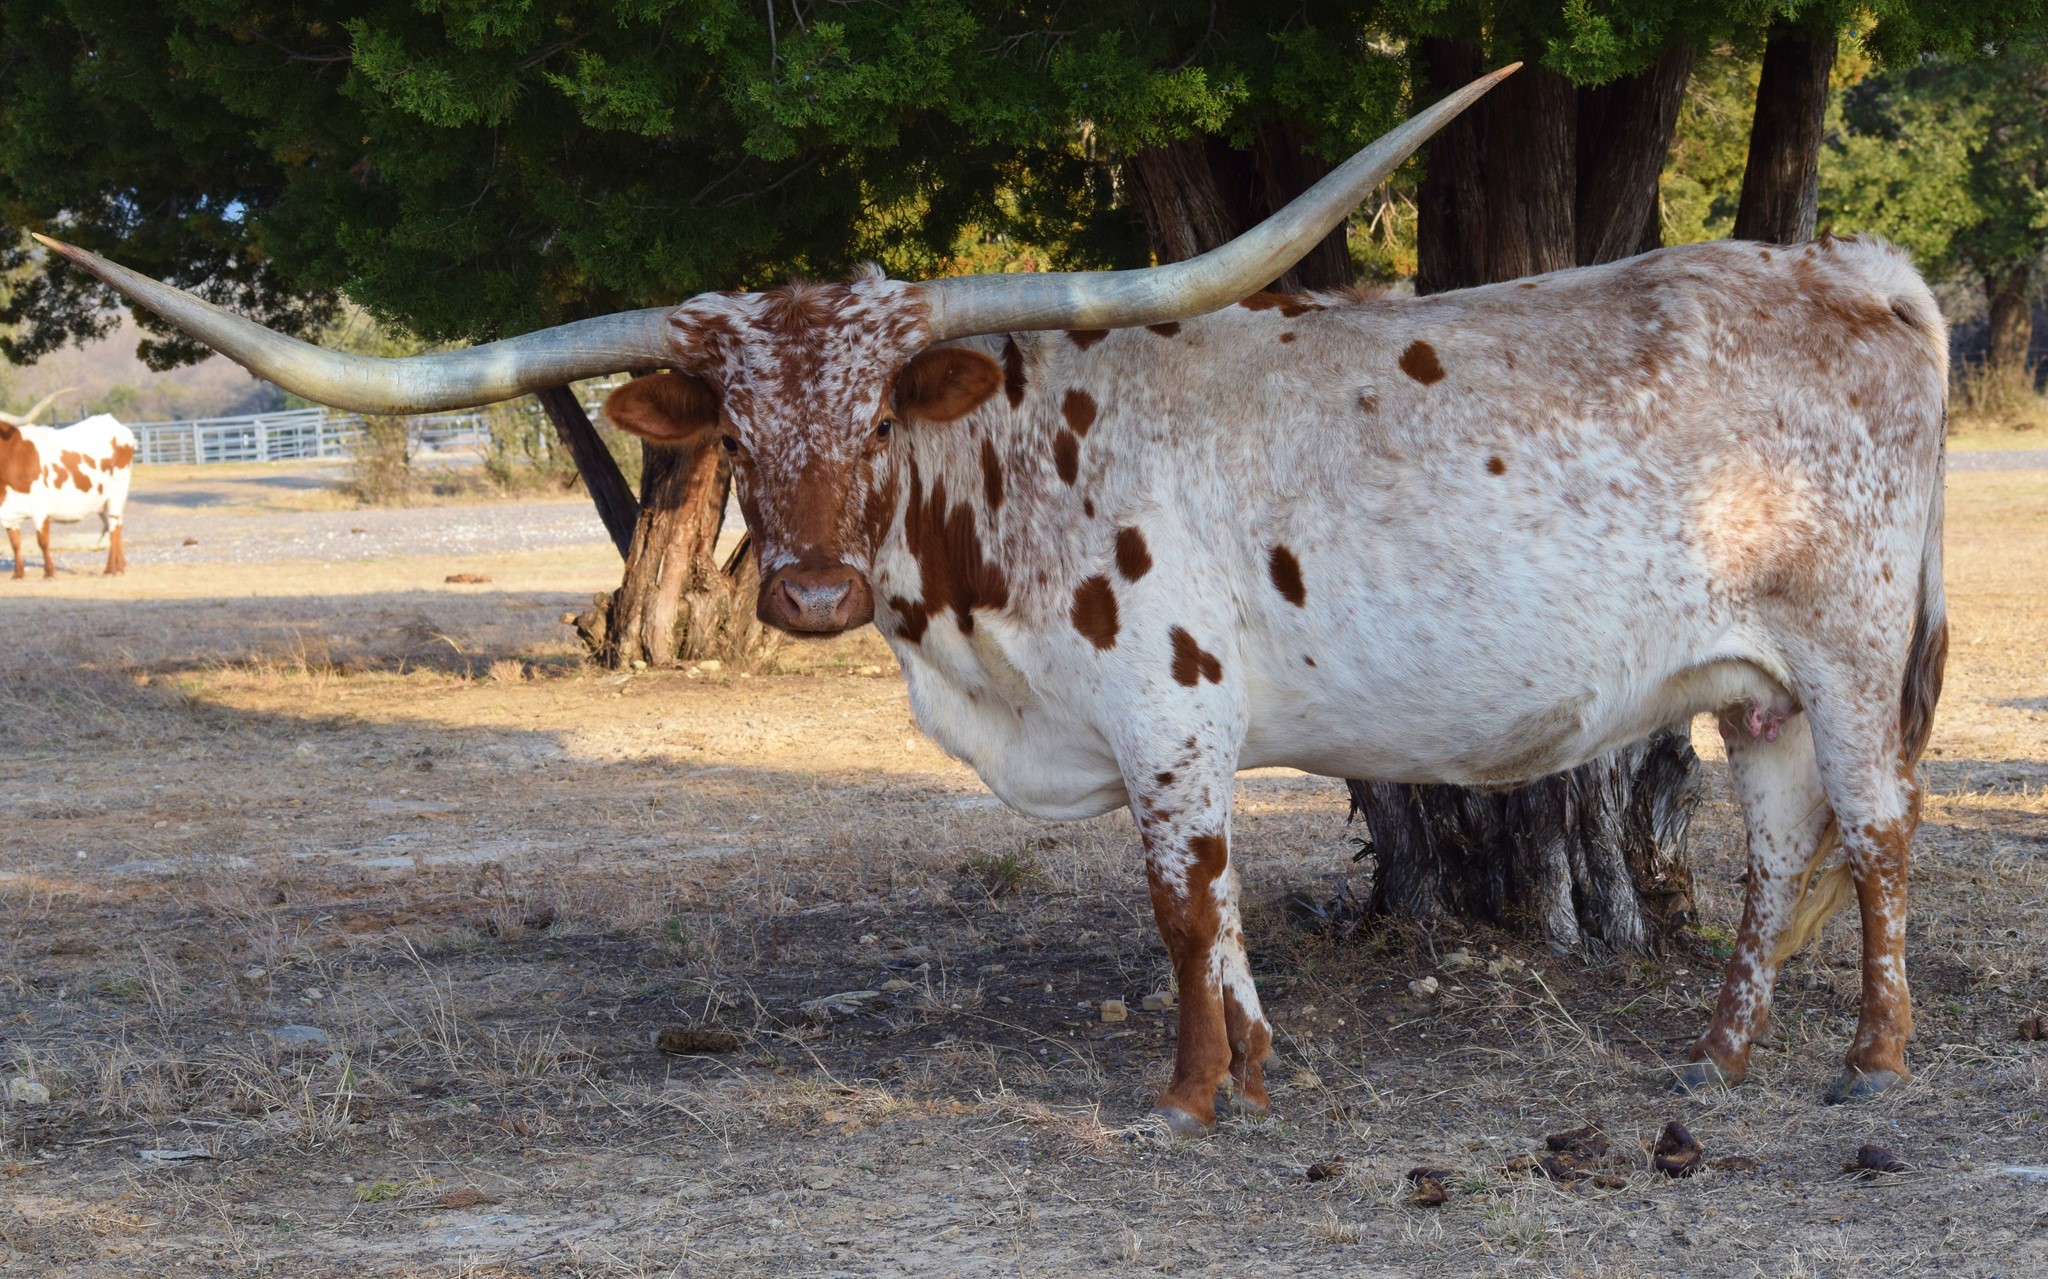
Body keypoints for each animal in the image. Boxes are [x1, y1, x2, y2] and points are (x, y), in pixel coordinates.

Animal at [0, 393, 135, 579]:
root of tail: (114, 423)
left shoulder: (40, 508)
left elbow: (43, 541)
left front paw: (49, 573)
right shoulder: (7, 513)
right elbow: (15, 543)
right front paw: (18, 574)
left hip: (118, 492)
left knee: (114, 527)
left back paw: (110, 569)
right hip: (102, 500)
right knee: (115, 526)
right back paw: (120, 566)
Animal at [37, 63, 1952, 1134]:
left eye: (884, 404)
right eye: (737, 422)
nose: (810, 586)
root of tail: (1852, 262)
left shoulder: (1171, 716)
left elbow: (1184, 906)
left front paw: (1189, 1096)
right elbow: (1221, 919)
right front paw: (1257, 1075)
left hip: (1853, 649)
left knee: (1872, 832)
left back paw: (1871, 1057)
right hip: (1753, 676)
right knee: (1776, 844)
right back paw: (1718, 1055)